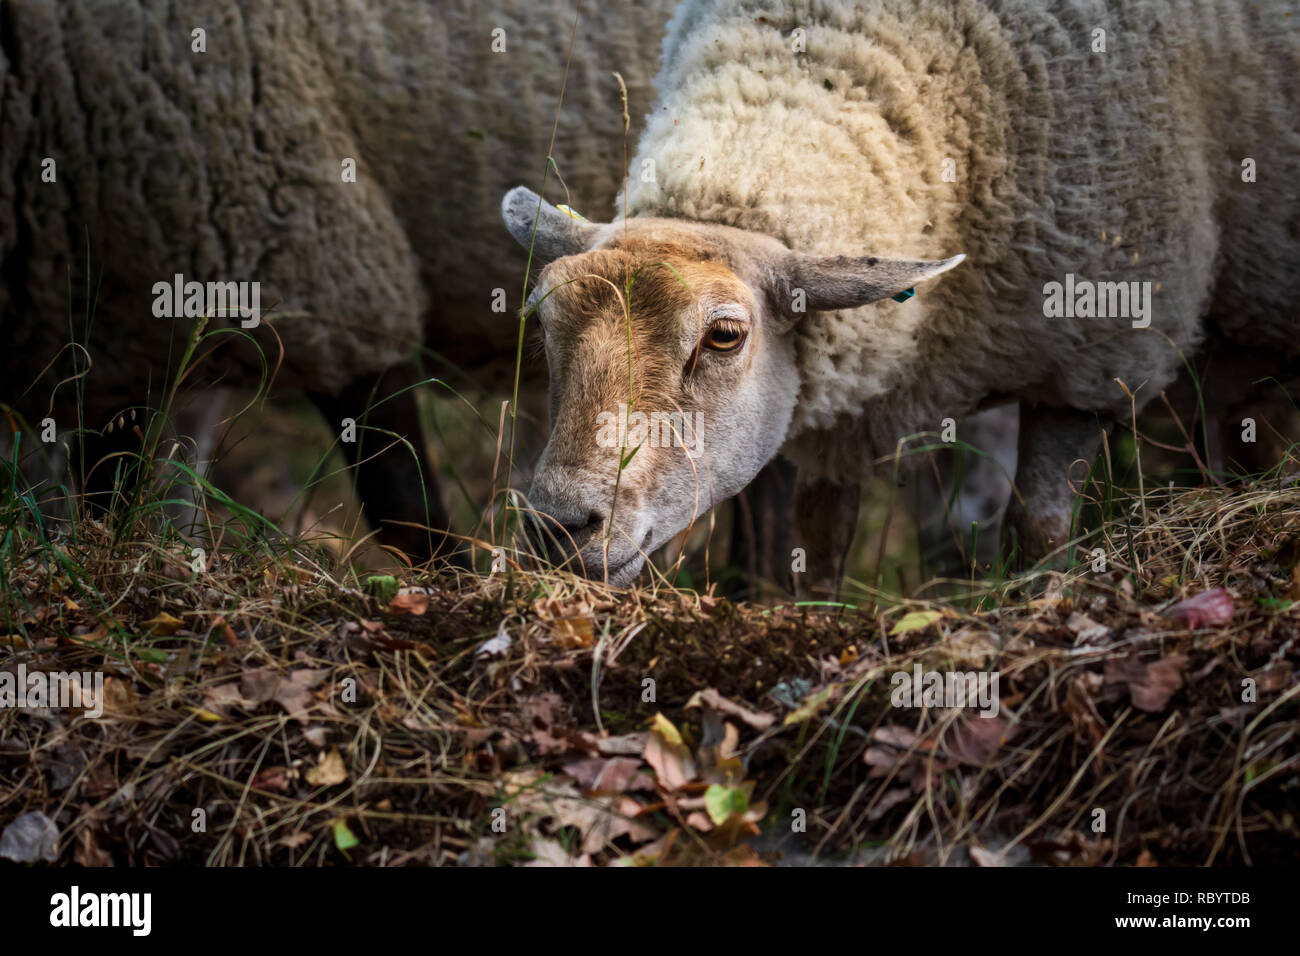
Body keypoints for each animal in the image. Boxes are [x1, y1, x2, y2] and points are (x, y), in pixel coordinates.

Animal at [504, 0, 1300, 595]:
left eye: (724, 336)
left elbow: (1039, 533)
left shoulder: (1093, 359)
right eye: (542, 320)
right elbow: (819, 545)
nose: (558, 525)